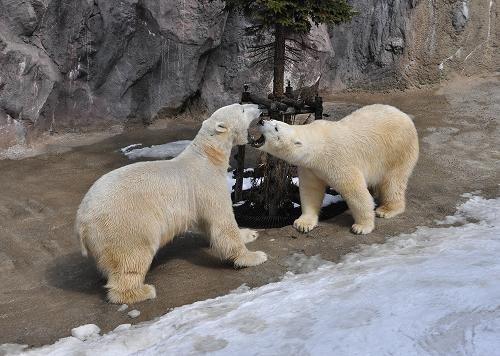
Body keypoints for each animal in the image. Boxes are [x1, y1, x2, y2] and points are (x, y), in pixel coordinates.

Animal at [76, 103, 268, 304]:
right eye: (242, 109)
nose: (259, 107)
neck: (208, 156)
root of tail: (82, 222)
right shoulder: (207, 186)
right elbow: (222, 223)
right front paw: (254, 256)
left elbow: (207, 224)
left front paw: (249, 233)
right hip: (125, 225)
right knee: (132, 257)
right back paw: (143, 291)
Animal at [250, 104, 418, 235]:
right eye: (272, 120)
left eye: (276, 127)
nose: (262, 120)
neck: (319, 146)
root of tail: (405, 116)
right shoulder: (310, 168)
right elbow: (310, 191)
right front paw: (303, 224)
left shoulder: (338, 160)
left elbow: (355, 191)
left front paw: (362, 226)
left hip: (397, 150)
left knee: (393, 181)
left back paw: (387, 209)